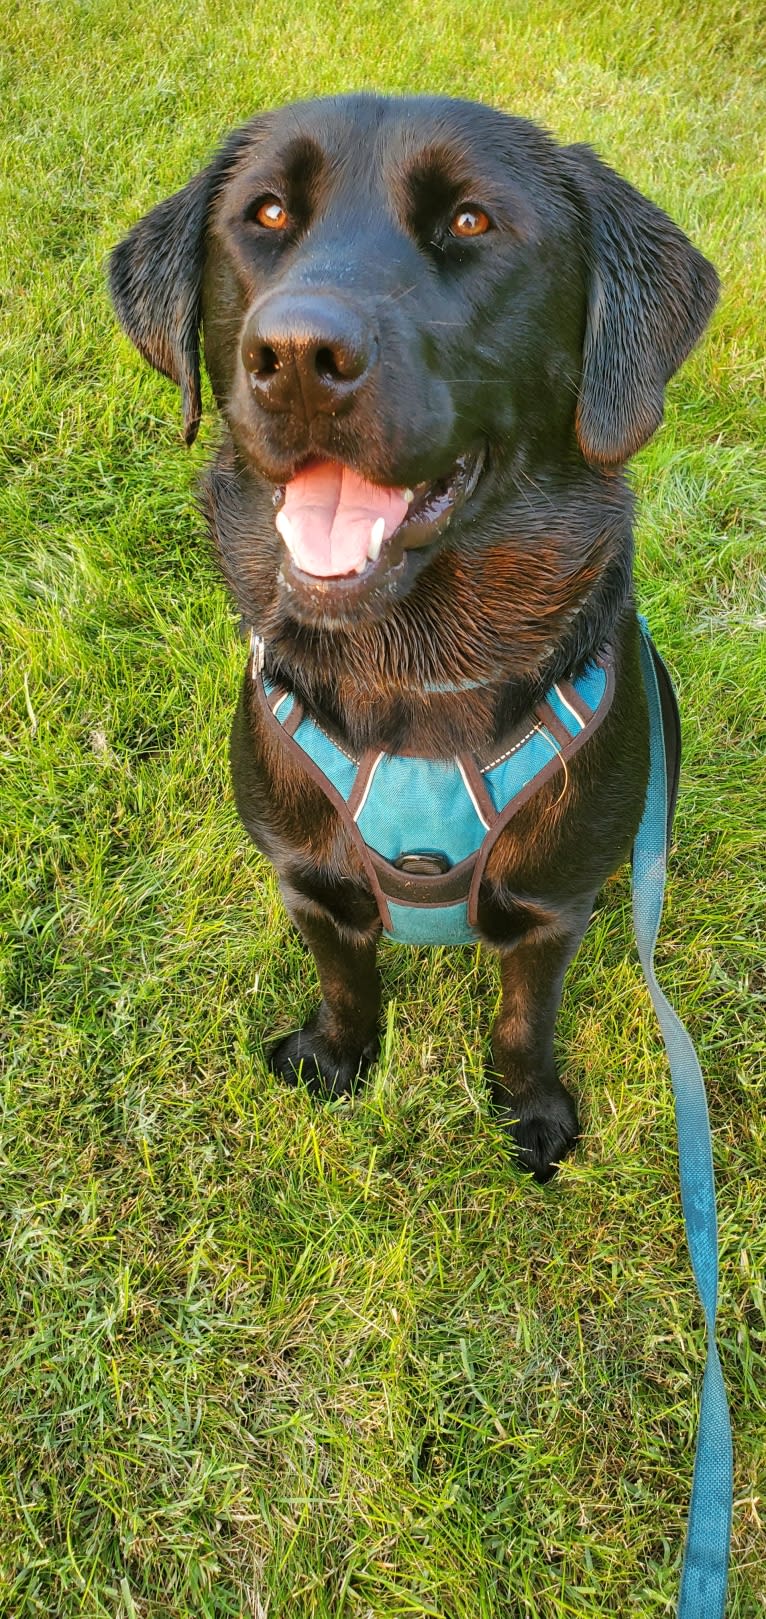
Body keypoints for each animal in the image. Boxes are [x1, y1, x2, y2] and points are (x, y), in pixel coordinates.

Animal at [109, 91, 715, 1178]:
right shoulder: (308, 881)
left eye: (471, 221)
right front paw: (338, 1059)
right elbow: (347, 982)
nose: (297, 357)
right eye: (266, 215)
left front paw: (529, 1108)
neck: (410, 668)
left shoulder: (549, 906)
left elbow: (524, 1017)